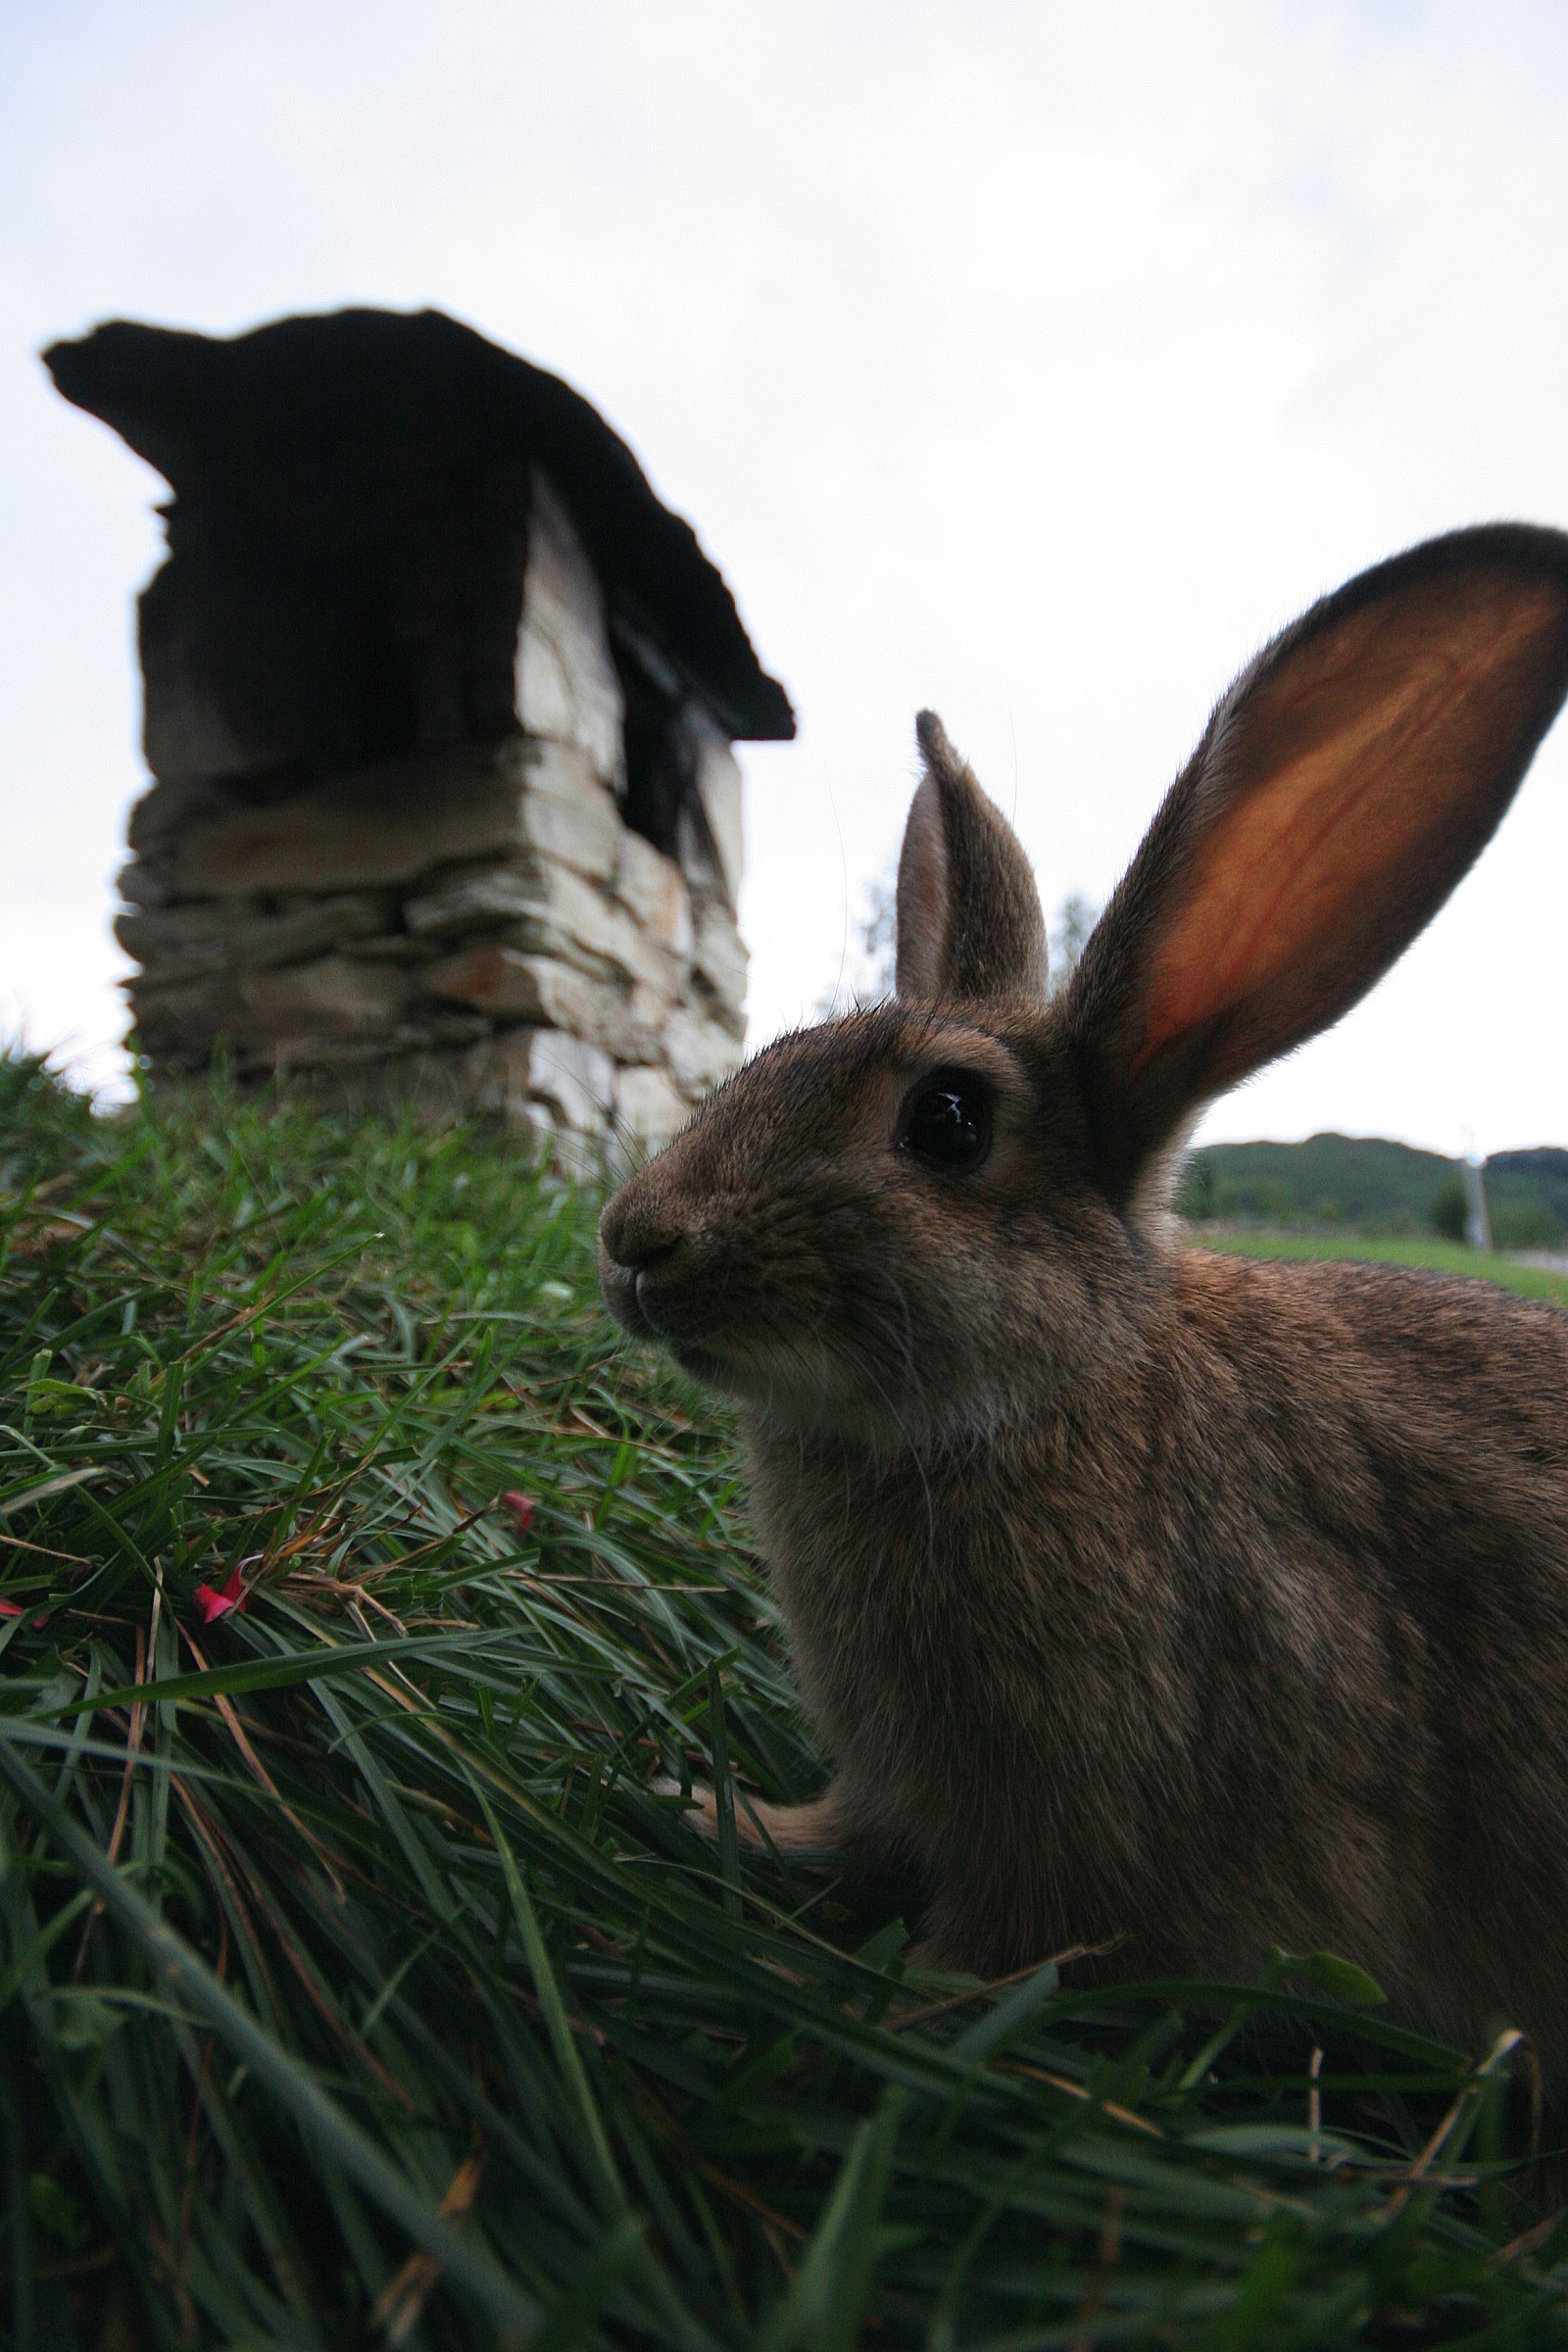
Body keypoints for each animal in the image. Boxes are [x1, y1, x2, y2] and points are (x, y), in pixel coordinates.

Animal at [599, 523, 1568, 2066]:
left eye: (946, 1123)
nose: (639, 1243)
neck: (1058, 1391)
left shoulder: (1108, 1838)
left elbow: (1004, 1961)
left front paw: (850, 2000)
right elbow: (841, 1830)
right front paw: (709, 1817)